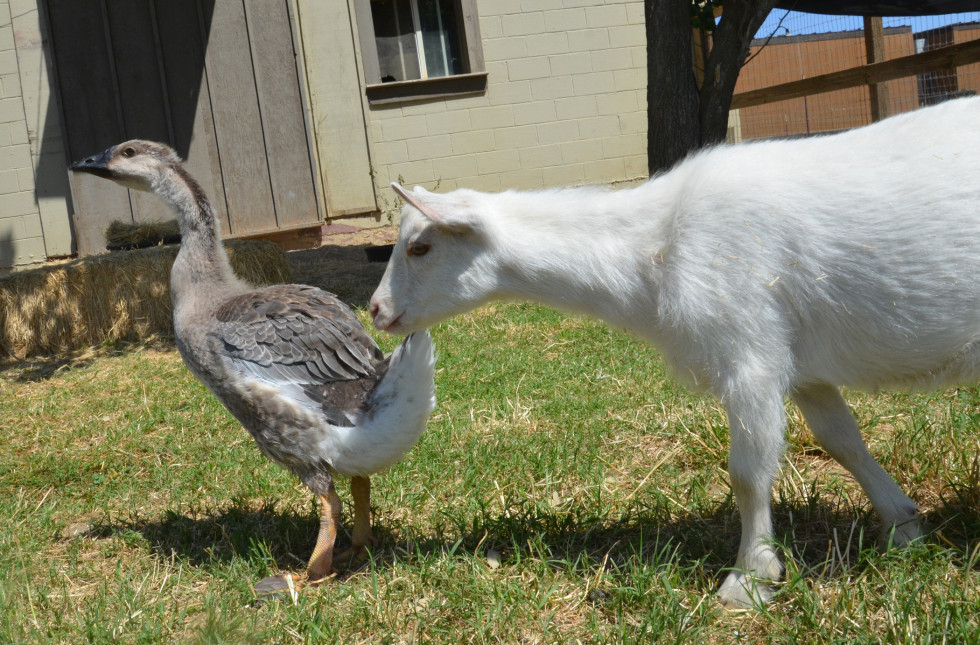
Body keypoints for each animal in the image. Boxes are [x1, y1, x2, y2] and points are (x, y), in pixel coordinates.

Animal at [368, 98, 980, 608]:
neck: (654, 245)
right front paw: (903, 527)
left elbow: (748, 473)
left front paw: (749, 580)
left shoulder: (748, 353)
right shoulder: (800, 366)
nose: (375, 309)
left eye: (420, 246)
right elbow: (841, 441)